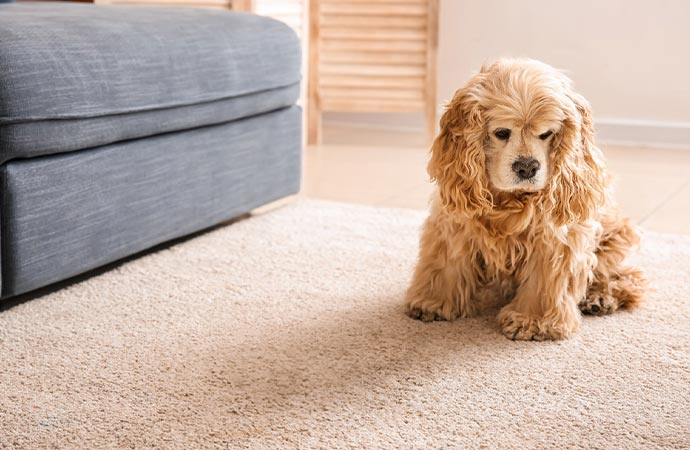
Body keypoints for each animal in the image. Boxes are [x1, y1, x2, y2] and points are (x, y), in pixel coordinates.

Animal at [404, 59, 644, 342]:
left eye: (547, 133)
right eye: (501, 132)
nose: (527, 167)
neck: (509, 199)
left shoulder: (554, 238)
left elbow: (544, 281)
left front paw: (533, 321)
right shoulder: (454, 222)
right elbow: (446, 263)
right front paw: (432, 302)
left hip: (614, 238)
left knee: (626, 276)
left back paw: (599, 299)